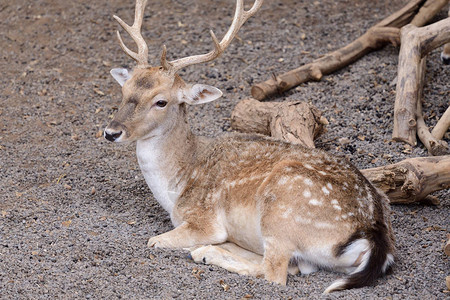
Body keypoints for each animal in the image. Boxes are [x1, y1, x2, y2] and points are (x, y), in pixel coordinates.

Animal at [103, 0, 396, 292]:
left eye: (161, 101)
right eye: (124, 90)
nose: (111, 132)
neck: (176, 186)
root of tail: (374, 236)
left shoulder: (203, 219)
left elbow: (155, 240)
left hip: (281, 210)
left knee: (275, 272)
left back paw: (205, 252)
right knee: (295, 265)